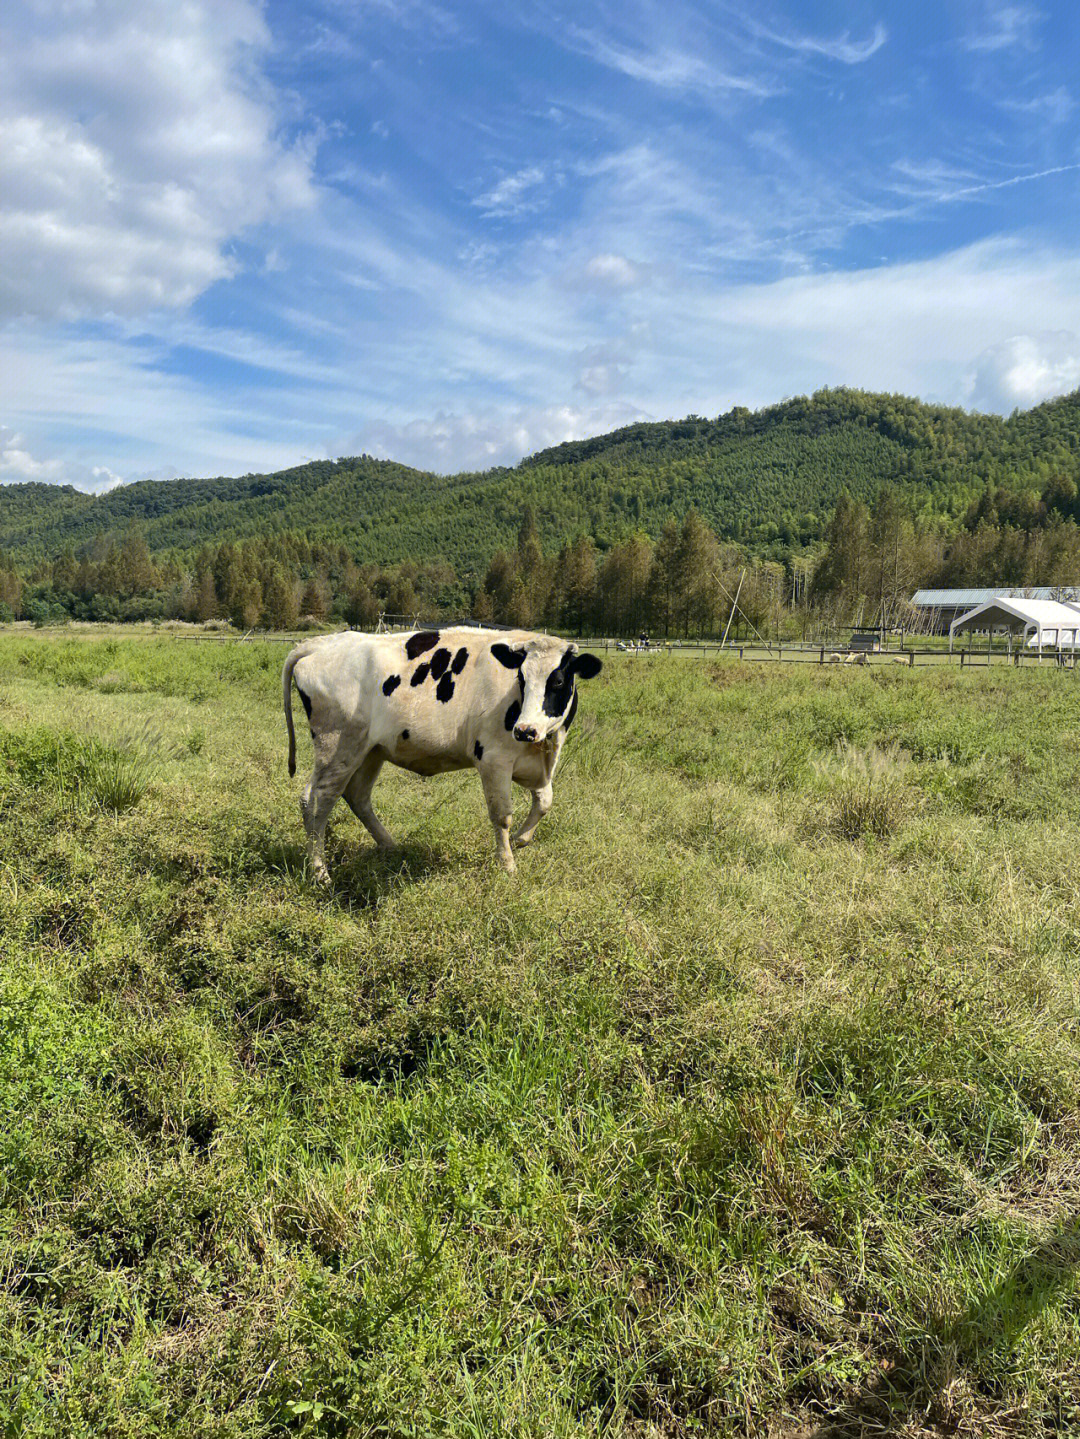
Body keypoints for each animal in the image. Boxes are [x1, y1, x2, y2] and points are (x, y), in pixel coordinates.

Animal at [280, 627, 601, 874]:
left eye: (558, 680)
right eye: (521, 679)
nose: (524, 730)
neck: (545, 747)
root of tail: (324, 642)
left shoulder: (536, 764)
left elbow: (545, 802)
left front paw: (522, 839)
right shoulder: (494, 760)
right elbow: (502, 815)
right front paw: (508, 865)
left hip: (370, 750)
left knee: (356, 796)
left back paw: (390, 846)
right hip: (336, 745)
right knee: (316, 800)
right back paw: (320, 872)